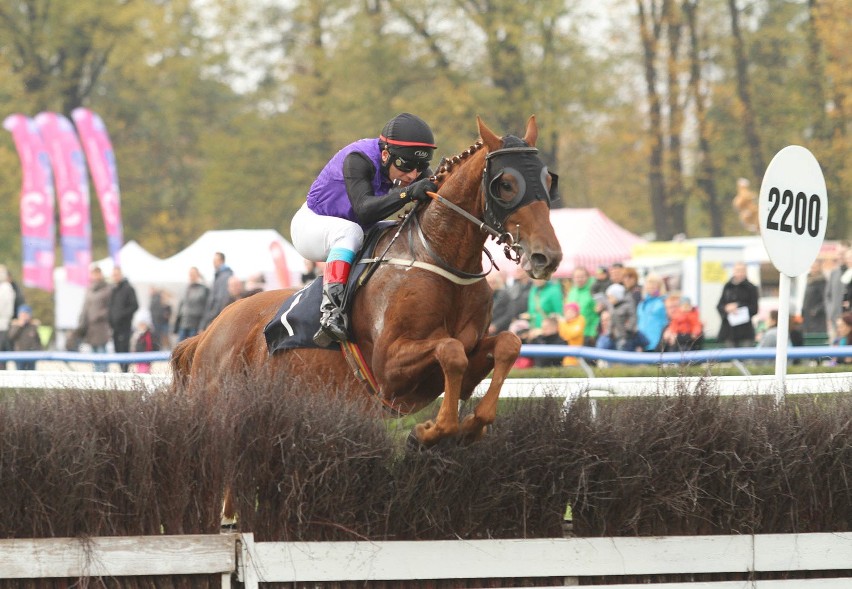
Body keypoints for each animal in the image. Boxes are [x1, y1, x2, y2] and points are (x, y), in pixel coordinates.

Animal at [170, 115, 564, 446]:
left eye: (548, 179)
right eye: (506, 184)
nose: (548, 256)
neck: (437, 258)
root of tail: (208, 332)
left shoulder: (468, 356)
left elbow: (507, 344)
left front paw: (468, 425)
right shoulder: (389, 369)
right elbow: (450, 351)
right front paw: (429, 431)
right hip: (221, 411)